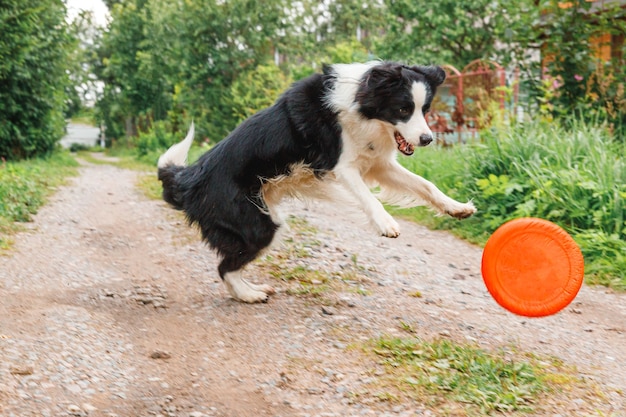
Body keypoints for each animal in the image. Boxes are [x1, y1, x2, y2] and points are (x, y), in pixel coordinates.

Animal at [157, 61, 472, 302]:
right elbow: (367, 196)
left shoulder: (379, 164)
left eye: (425, 109)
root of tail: (188, 180)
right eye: (403, 109)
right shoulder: (341, 165)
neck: (361, 103)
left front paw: (456, 208)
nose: (427, 139)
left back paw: (250, 290)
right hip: (255, 223)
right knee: (225, 267)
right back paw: (249, 295)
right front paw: (386, 224)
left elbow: (425, 185)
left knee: (230, 265)